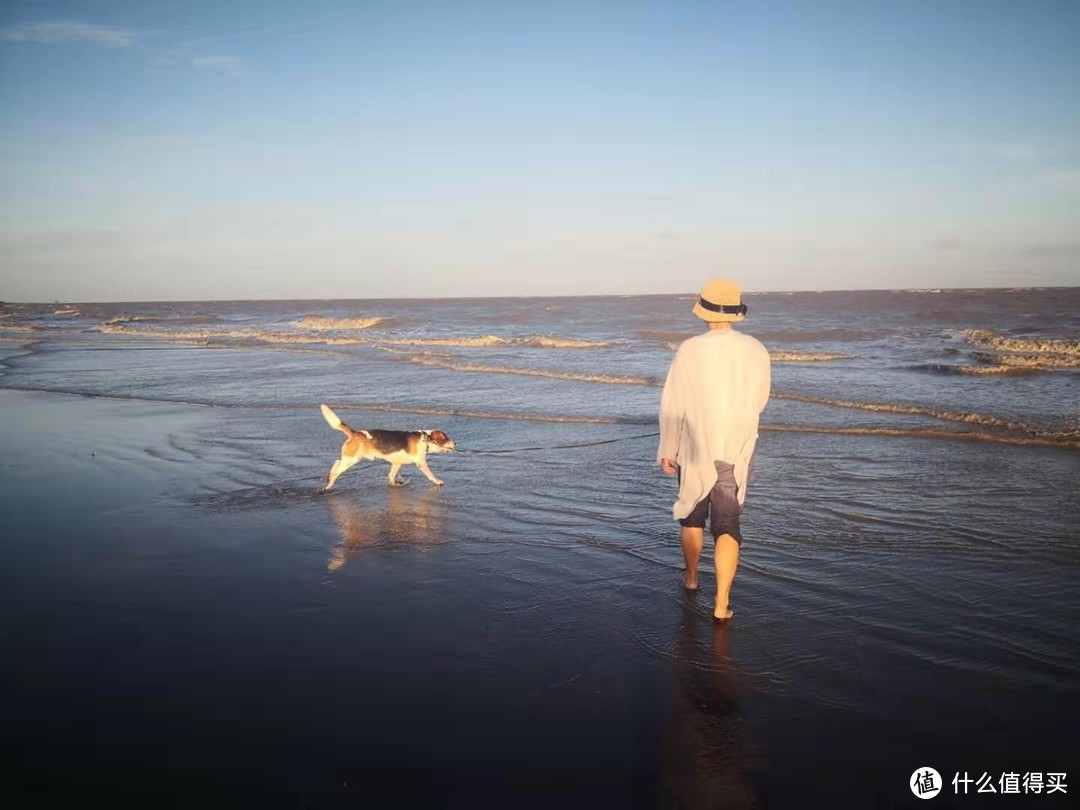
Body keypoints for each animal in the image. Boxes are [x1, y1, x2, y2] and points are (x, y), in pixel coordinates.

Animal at [319, 403, 455, 492]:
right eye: (446, 439)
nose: (455, 443)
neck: (425, 439)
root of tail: (355, 433)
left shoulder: (397, 463)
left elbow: (391, 476)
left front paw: (394, 484)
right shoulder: (421, 463)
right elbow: (430, 475)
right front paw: (437, 481)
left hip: (350, 459)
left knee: (337, 462)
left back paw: (329, 477)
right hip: (352, 459)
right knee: (337, 470)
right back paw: (330, 482)